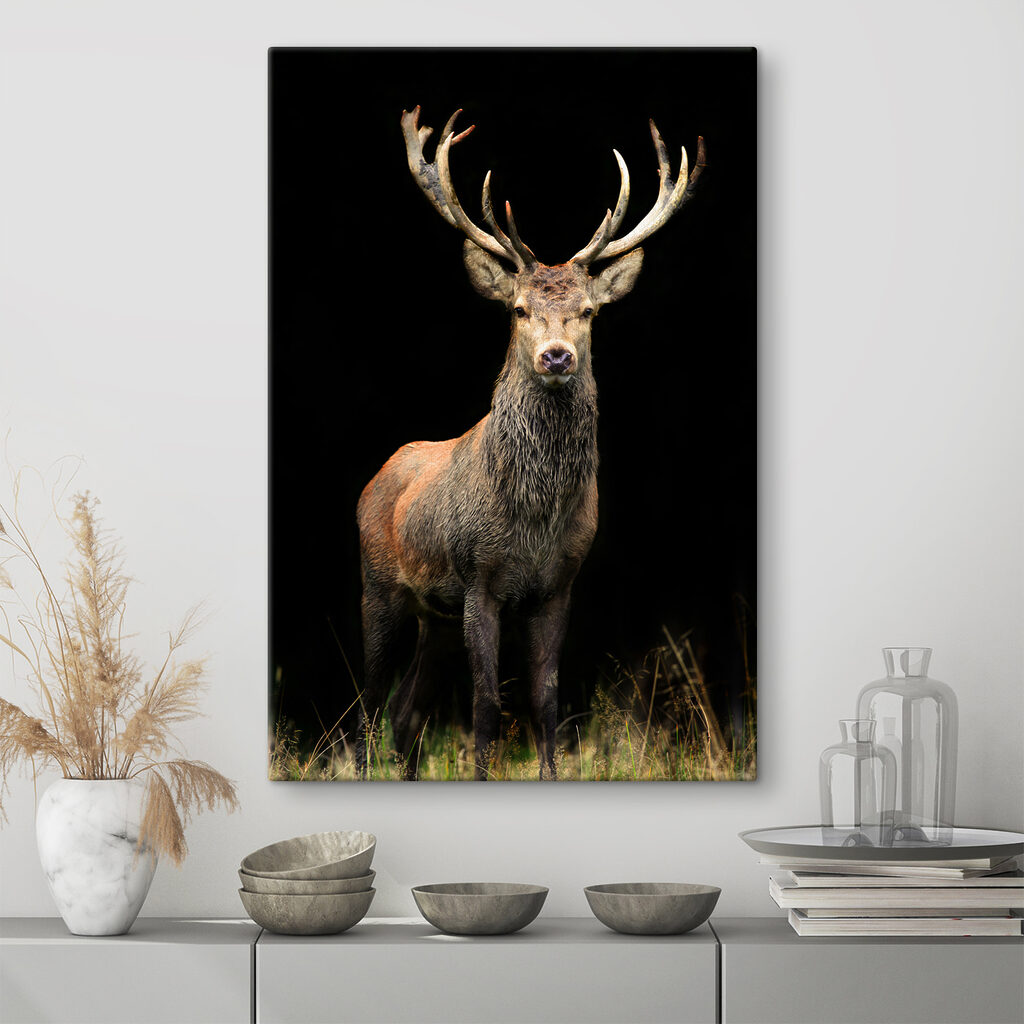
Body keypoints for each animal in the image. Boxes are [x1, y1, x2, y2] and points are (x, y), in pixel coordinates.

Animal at [355, 105, 704, 780]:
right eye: (518, 308)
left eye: (590, 312)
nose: (556, 355)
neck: (532, 520)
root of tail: (375, 478)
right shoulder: (478, 578)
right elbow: (487, 704)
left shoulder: (559, 585)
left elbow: (546, 702)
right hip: (379, 585)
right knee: (366, 702)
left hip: (435, 617)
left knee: (405, 713)